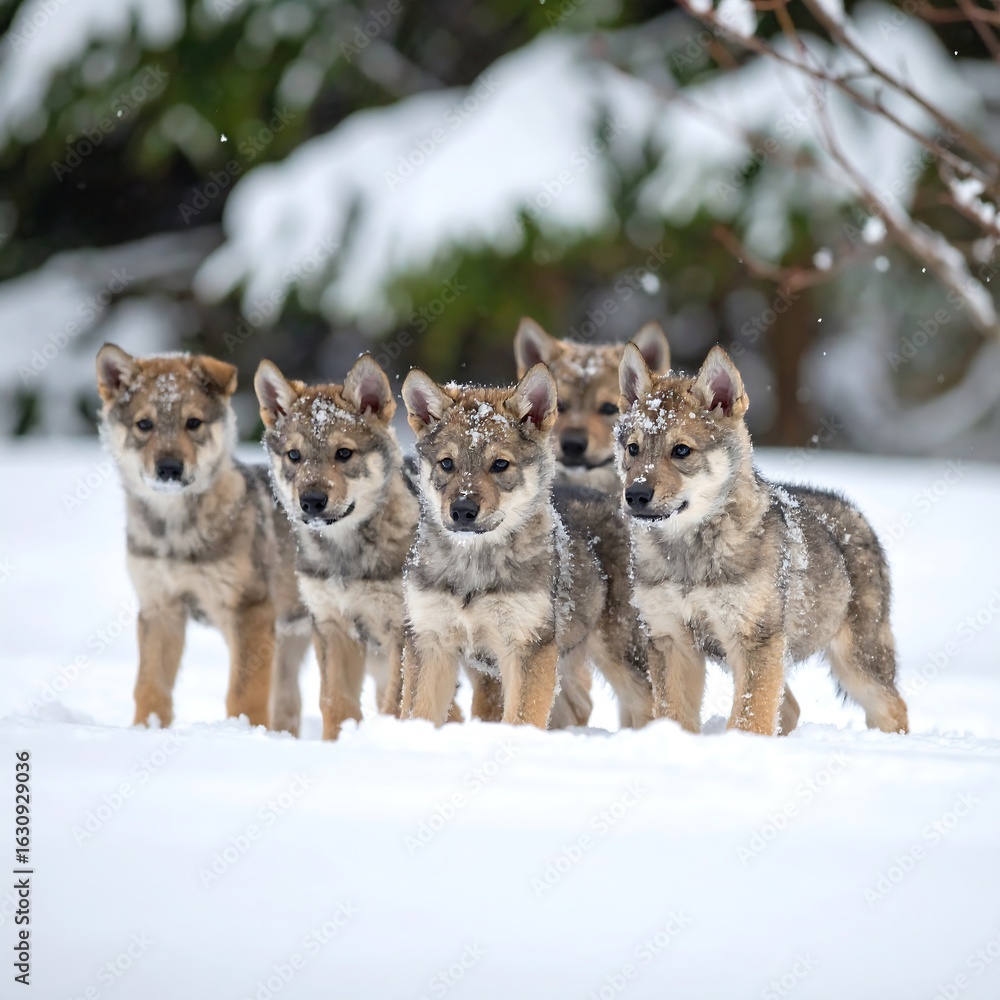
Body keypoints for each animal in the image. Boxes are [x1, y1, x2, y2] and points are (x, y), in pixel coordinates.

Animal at [96, 344, 309, 733]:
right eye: (144, 424)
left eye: (193, 423)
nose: (169, 468)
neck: (175, 534)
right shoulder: (160, 607)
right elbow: (150, 688)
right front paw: (145, 731)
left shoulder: (250, 611)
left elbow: (244, 694)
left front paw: (243, 732)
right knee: (292, 705)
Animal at [255, 354, 424, 740]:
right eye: (295, 456)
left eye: (343, 453)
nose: (312, 501)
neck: (346, 558)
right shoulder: (332, 626)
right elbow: (335, 702)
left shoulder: (400, 632)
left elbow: (396, 703)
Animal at [399, 364, 652, 729]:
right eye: (447, 464)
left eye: (500, 464)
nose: (462, 510)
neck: (474, 569)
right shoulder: (430, 643)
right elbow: (418, 715)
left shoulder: (527, 648)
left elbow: (521, 719)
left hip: (621, 656)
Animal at [616, 343, 909, 736]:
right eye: (633, 449)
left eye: (681, 450)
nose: (635, 495)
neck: (689, 558)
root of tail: (853, 511)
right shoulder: (670, 638)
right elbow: (674, 714)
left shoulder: (754, 639)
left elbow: (749, 718)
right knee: (792, 708)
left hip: (856, 662)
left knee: (894, 708)